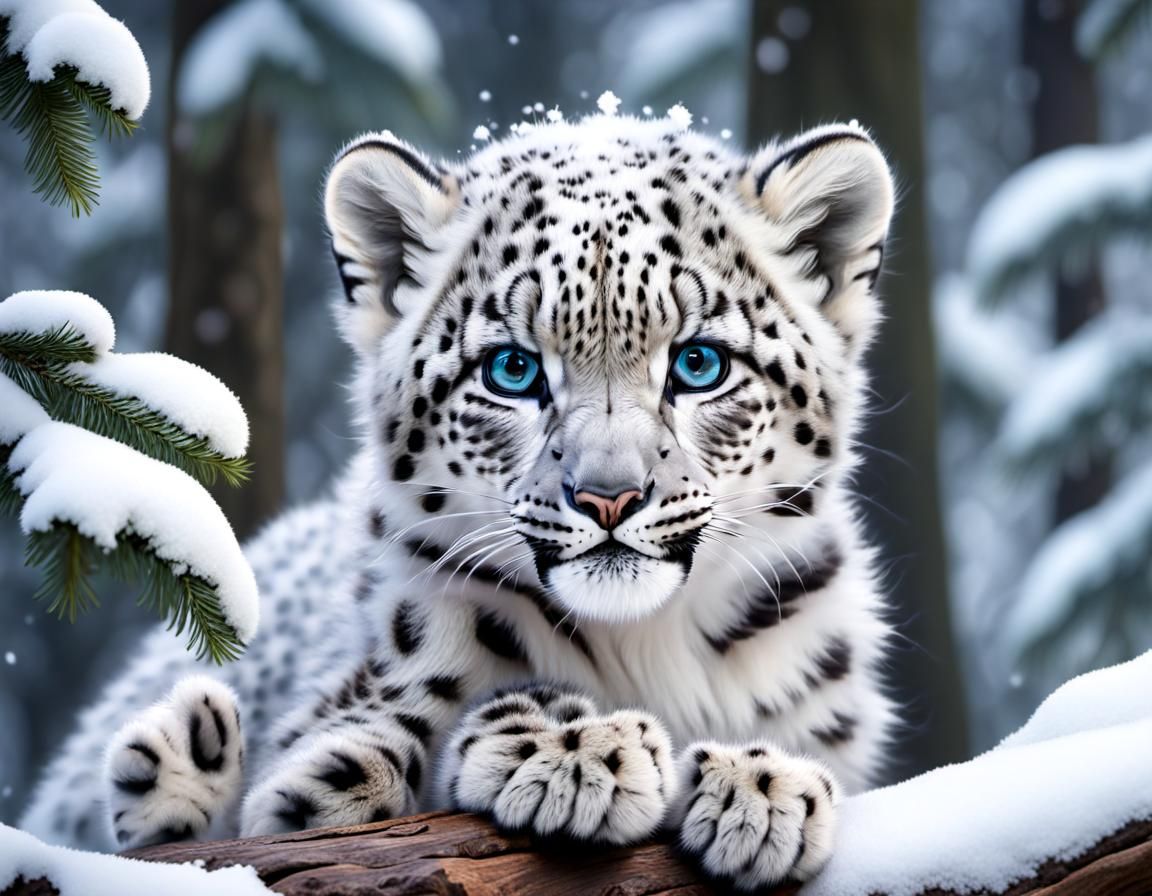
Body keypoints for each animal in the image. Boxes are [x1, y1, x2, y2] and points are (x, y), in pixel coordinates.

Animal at [20, 112, 898, 891]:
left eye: (700, 362)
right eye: (512, 369)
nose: (608, 497)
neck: (644, 648)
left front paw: (762, 784)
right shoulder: (329, 745)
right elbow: (344, 783)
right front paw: (578, 743)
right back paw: (185, 752)